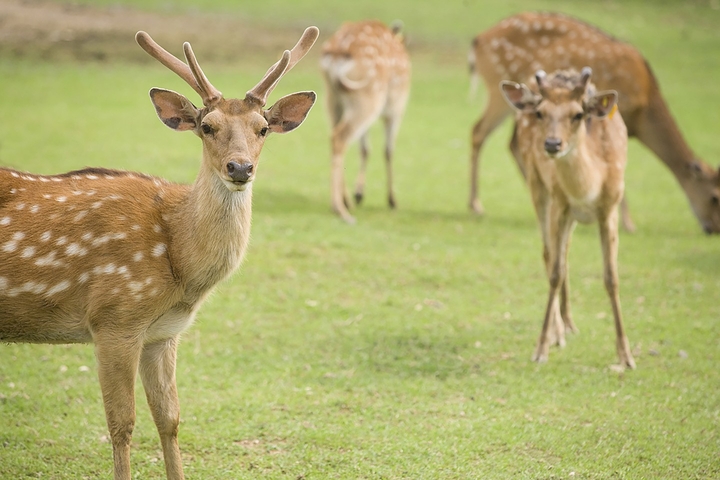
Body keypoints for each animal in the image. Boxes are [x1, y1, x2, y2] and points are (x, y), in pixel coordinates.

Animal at [0, 26, 318, 480]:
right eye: (207, 126)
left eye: (262, 129)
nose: (240, 168)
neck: (180, 267)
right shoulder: (113, 317)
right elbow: (121, 424)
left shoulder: (164, 333)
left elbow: (169, 419)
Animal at [320, 20, 411, 224]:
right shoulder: (397, 109)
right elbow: (388, 151)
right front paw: (392, 200)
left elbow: (365, 149)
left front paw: (359, 194)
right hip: (368, 96)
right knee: (340, 137)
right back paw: (339, 208)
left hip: (332, 98)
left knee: (335, 134)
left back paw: (345, 201)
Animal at [468, 11, 720, 234]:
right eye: (715, 197)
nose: (714, 229)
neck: (645, 109)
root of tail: (478, 39)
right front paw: (628, 224)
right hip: (498, 88)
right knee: (479, 131)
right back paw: (477, 206)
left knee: (511, 143)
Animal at [500, 67, 636, 369]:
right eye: (541, 113)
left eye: (578, 114)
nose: (552, 144)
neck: (588, 189)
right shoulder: (559, 204)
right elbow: (554, 272)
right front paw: (541, 348)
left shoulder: (609, 208)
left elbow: (612, 277)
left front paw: (626, 355)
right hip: (537, 185)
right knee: (550, 254)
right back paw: (558, 332)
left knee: (566, 254)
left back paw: (570, 324)